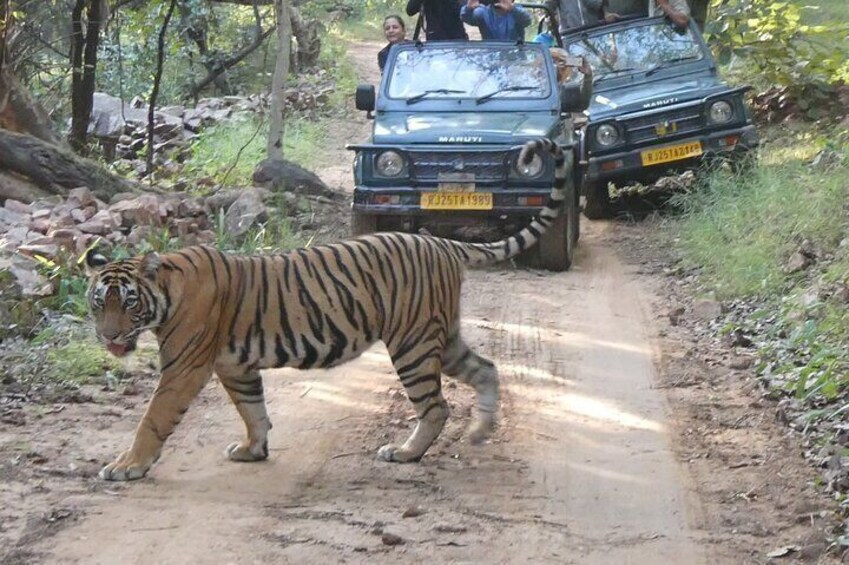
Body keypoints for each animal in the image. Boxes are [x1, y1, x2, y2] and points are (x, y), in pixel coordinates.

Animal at [86, 138, 568, 480]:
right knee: (485, 368)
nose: (108, 336)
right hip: (442, 336)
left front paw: (127, 466)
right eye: (97, 305)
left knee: (436, 407)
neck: (167, 292)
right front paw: (253, 450)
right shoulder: (235, 366)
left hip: (412, 342)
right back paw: (480, 432)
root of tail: (442, 243)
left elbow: (153, 418)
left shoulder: (184, 367)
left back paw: (406, 453)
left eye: (129, 303)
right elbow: (253, 410)